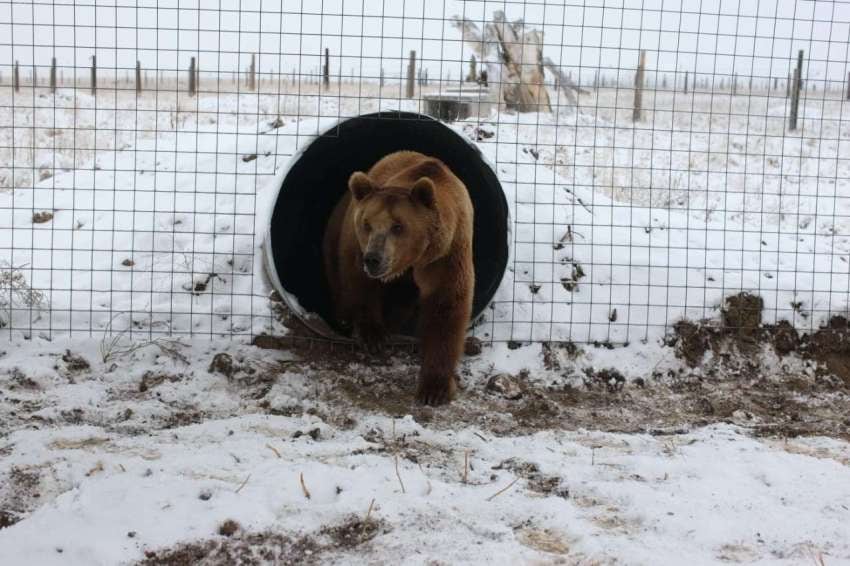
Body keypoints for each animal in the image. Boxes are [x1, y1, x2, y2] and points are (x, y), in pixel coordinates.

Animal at [322, 150, 474, 408]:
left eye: (398, 226)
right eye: (367, 224)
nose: (373, 258)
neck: (414, 259)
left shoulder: (446, 256)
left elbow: (446, 307)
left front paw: (434, 389)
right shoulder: (356, 246)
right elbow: (359, 284)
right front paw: (372, 335)